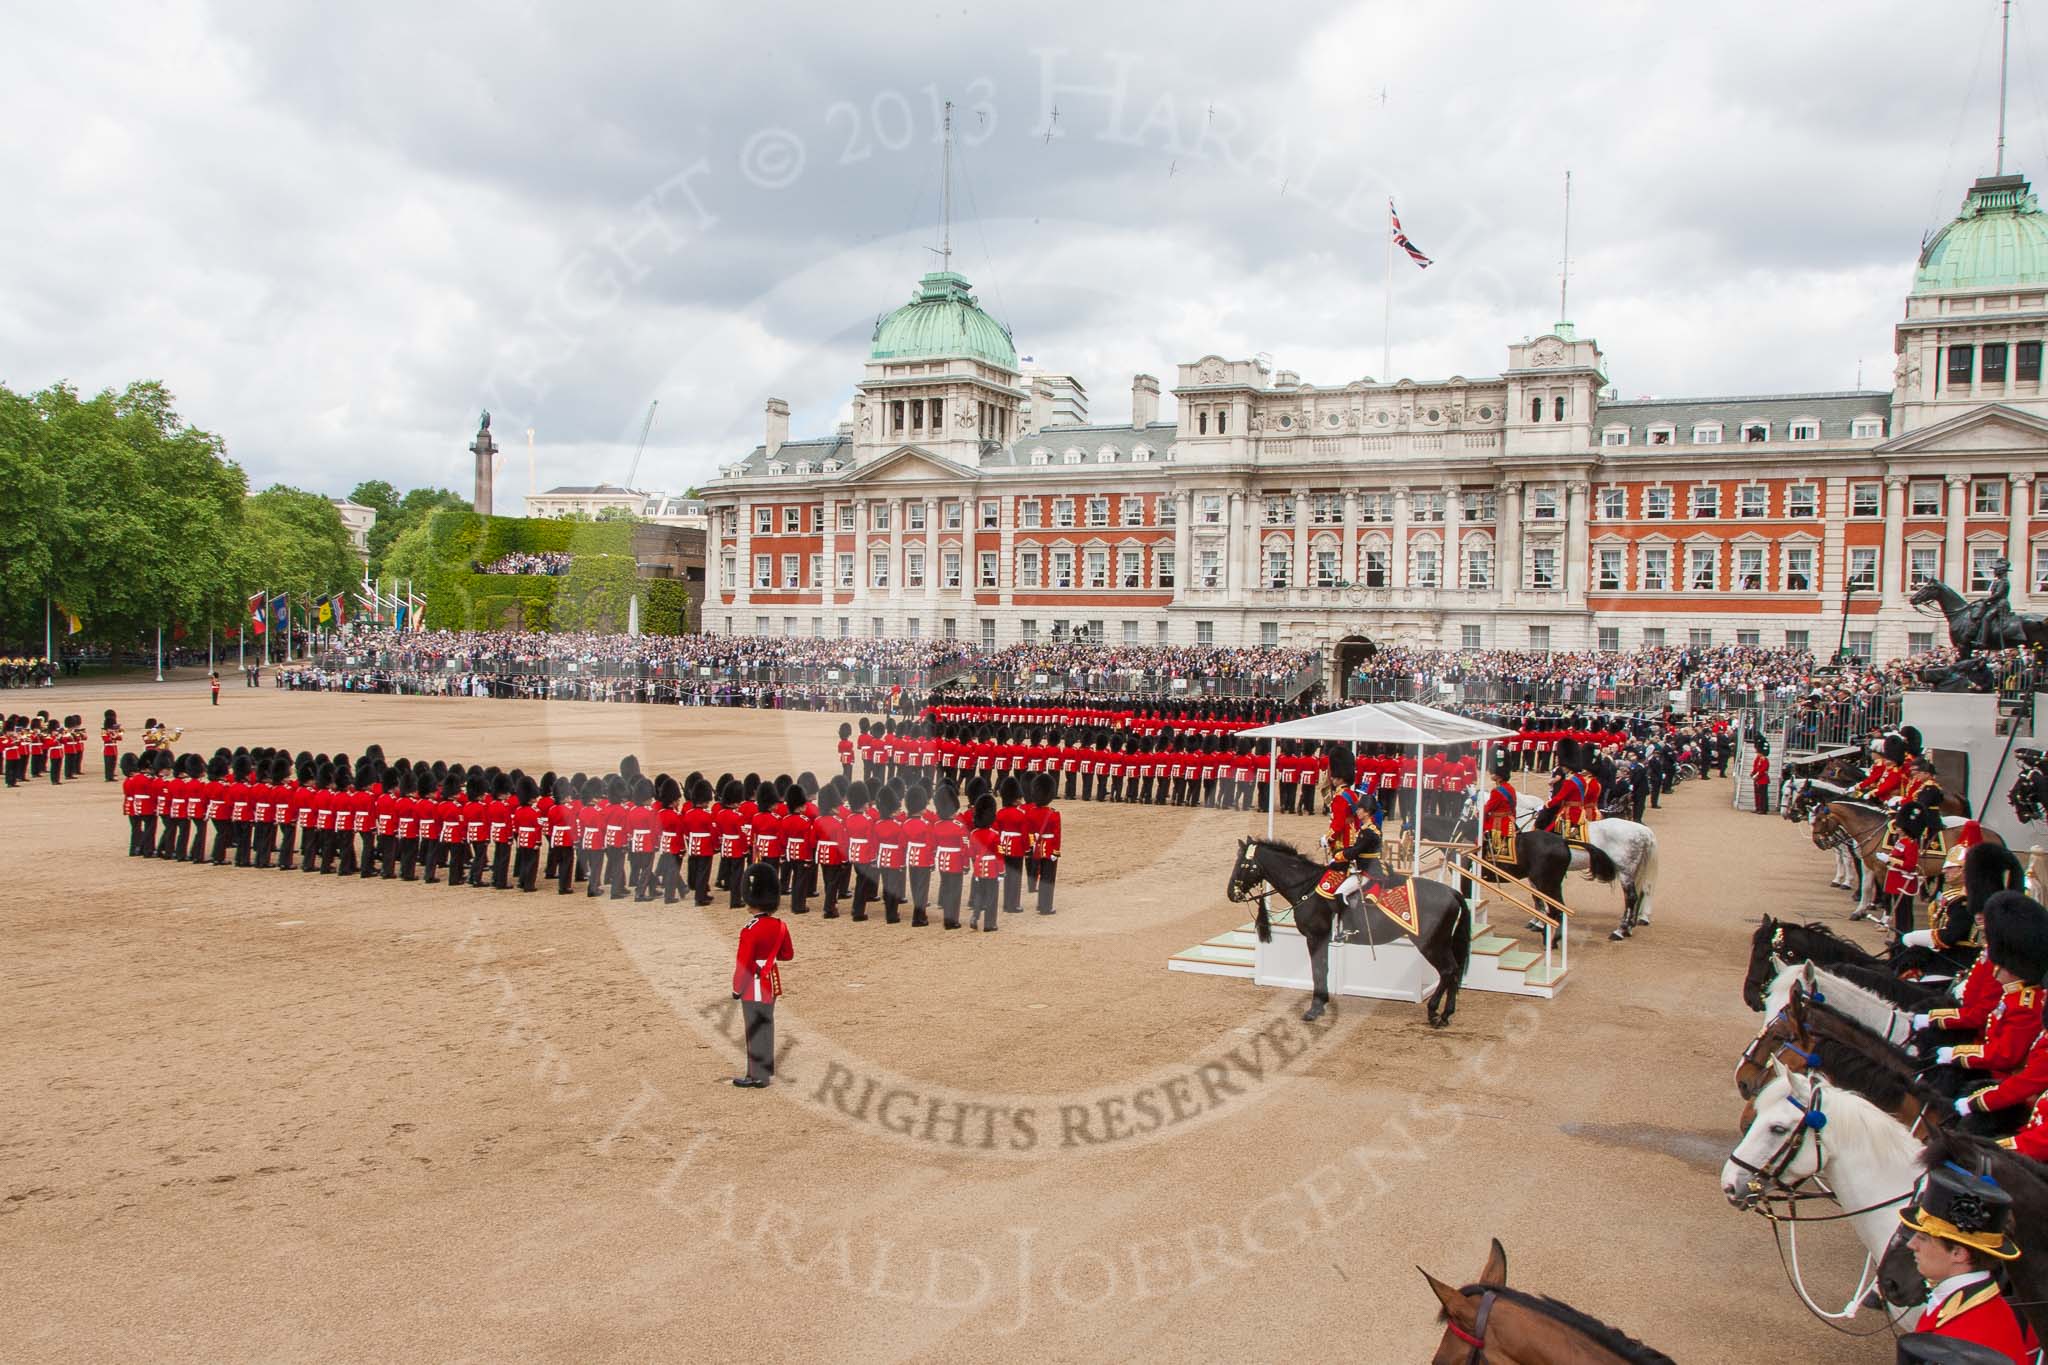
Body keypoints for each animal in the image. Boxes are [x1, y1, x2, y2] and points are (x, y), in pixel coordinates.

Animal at [1228, 839, 1474, 1031]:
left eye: (1242, 864)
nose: (1231, 893)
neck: (1308, 887)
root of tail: (1452, 892)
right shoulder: (1322, 939)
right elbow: (1323, 968)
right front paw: (1321, 1004)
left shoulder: (1315, 937)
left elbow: (1318, 970)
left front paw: (1314, 1009)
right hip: (1443, 942)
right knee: (1453, 971)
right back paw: (1446, 1014)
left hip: (1432, 943)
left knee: (1448, 971)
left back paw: (1434, 1012)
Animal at [1507, 789, 1662, 941]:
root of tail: (1643, 831)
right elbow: (1538, 897)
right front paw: (1537, 921)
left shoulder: (1536, 873)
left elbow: (1537, 897)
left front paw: (1538, 923)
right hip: (1635, 870)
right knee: (1639, 894)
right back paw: (1629, 928)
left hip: (1625, 871)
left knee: (1631, 898)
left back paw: (1619, 931)